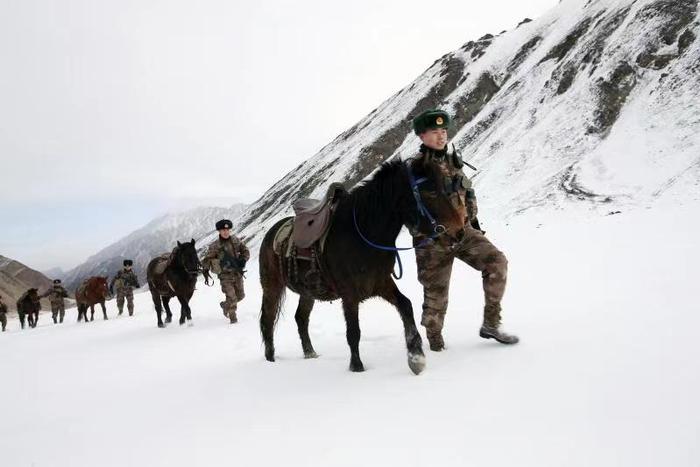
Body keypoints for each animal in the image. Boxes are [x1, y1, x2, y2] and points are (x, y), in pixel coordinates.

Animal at [260, 159, 468, 374]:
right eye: (430, 192)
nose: (459, 231)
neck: (363, 233)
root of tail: (271, 233)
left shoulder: (381, 283)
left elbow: (406, 306)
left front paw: (416, 357)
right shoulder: (349, 294)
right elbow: (353, 331)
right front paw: (357, 367)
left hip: (308, 291)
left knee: (301, 318)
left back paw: (310, 353)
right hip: (272, 286)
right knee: (267, 320)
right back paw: (270, 359)